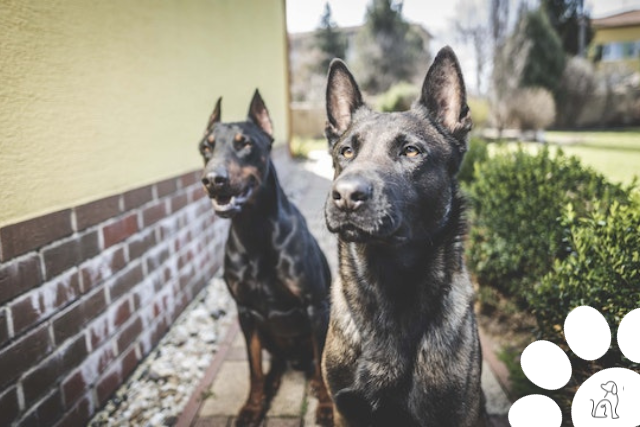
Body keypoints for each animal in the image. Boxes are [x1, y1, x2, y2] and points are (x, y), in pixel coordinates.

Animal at [198, 91, 332, 427]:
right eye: (206, 146)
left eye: (245, 143)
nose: (213, 179)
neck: (254, 230)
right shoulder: (245, 312)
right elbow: (253, 367)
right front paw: (252, 407)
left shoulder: (315, 305)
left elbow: (322, 360)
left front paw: (326, 406)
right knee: (276, 362)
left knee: (315, 362)